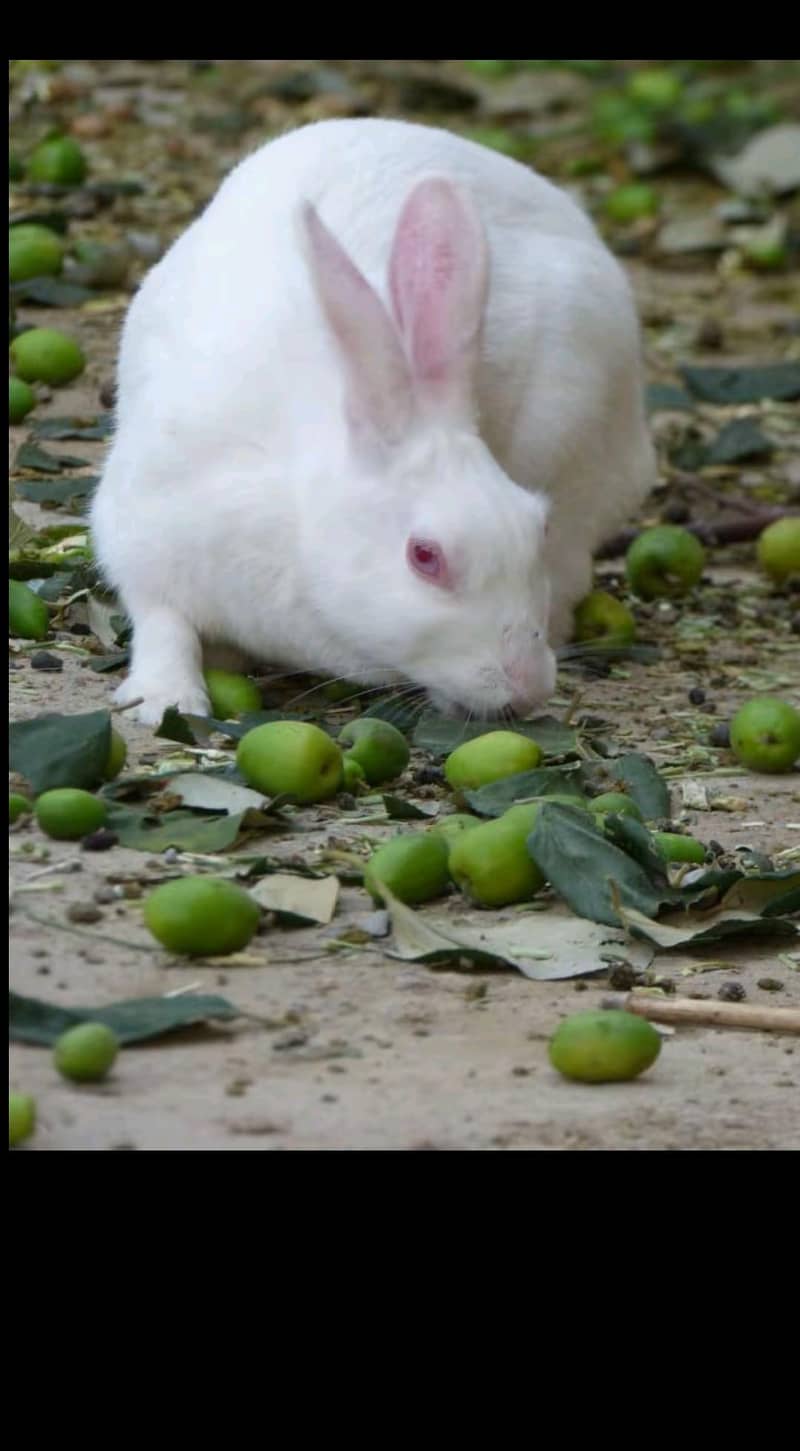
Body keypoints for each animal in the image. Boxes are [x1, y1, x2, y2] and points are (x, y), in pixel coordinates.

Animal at [90, 116, 656, 727]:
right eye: (425, 557)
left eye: (538, 528)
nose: (529, 687)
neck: (299, 523)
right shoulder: (142, 534)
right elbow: (162, 624)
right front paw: (168, 700)